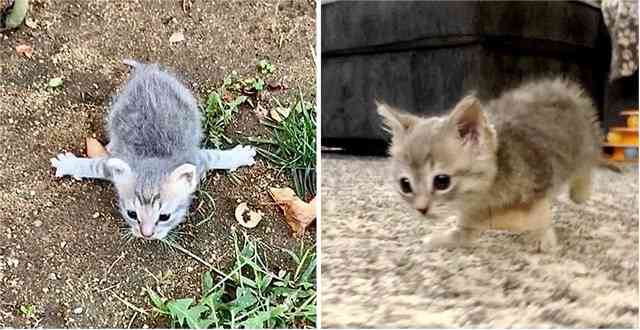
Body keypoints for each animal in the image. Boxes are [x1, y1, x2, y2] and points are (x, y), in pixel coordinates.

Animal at [50, 60, 255, 240]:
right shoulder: (116, 161)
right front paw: (70, 164)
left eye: (164, 217)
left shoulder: (196, 159)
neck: (154, 156)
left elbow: (215, 156)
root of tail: (147, 71)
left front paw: (240, 155)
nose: (146, 234)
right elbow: (95, 166)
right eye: (132, 214)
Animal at [378, 78, 604, 253]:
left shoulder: (539, 177)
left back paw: (580, 192)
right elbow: (463, 235)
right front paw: (436, 240)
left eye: (442, 181)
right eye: (405, 185)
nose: (421, 209)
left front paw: (543, 237)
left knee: (587, 165)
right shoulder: (471, 216)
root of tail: (561, 88)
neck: (487, 194)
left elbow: (539, 214)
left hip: (585, 143)